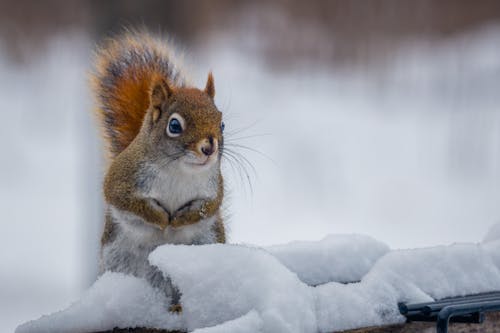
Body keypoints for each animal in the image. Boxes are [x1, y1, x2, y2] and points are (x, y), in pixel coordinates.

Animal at [91, 31, 226, 308]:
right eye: (174, 125)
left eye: (222, 123)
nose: (209, 147)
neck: (179, 170)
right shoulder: (121, 180)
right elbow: (125, 200)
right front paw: (162, 219)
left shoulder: (213, 188)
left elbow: (208, 207)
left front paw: (181, 219)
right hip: (119, 258)